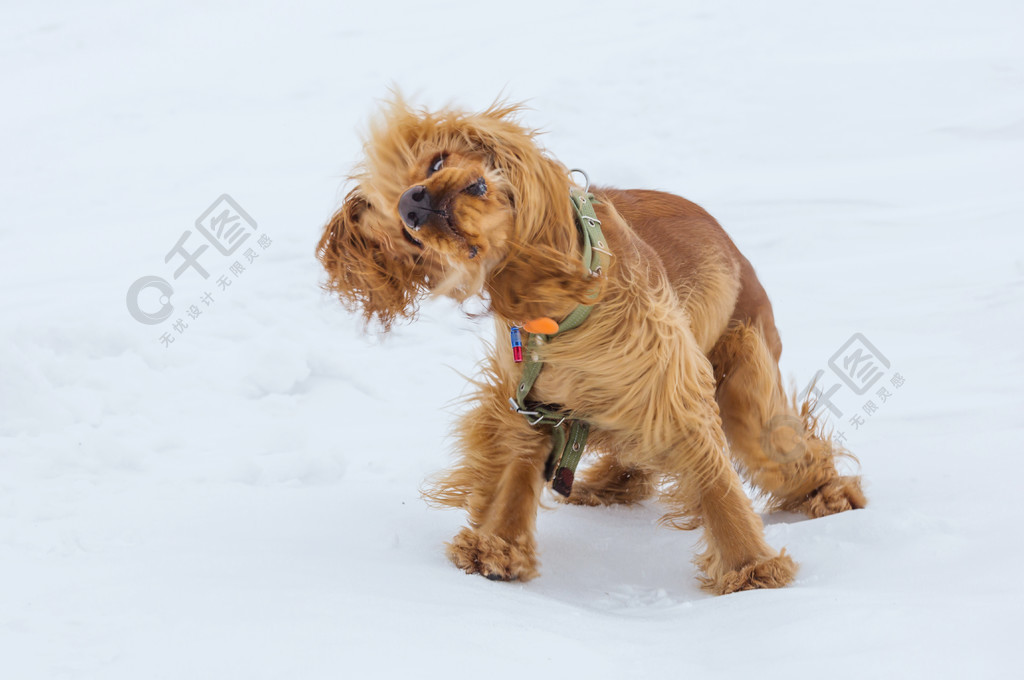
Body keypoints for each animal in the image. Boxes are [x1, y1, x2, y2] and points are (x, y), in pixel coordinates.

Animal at [317, 98, 864, 593]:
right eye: (407, 235)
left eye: (435, 163)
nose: (413, 202)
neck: (552, 295)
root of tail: (735, 250)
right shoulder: (530, 402)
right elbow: (514, 474)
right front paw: (497, 548)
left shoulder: (671, 385)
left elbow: (715, 483)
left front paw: (751, 570)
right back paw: (608, 486)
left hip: (744, 373)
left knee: (781, 447)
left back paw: (829, 494)